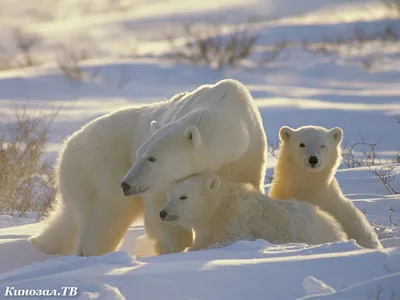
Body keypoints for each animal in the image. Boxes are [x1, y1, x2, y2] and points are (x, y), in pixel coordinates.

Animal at [158, 173, 346, 251]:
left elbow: (232, 239)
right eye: (168, 196)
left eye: (183, 197)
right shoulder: (207, 227)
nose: (163, 213)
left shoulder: (237, 221)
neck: (219, 208)